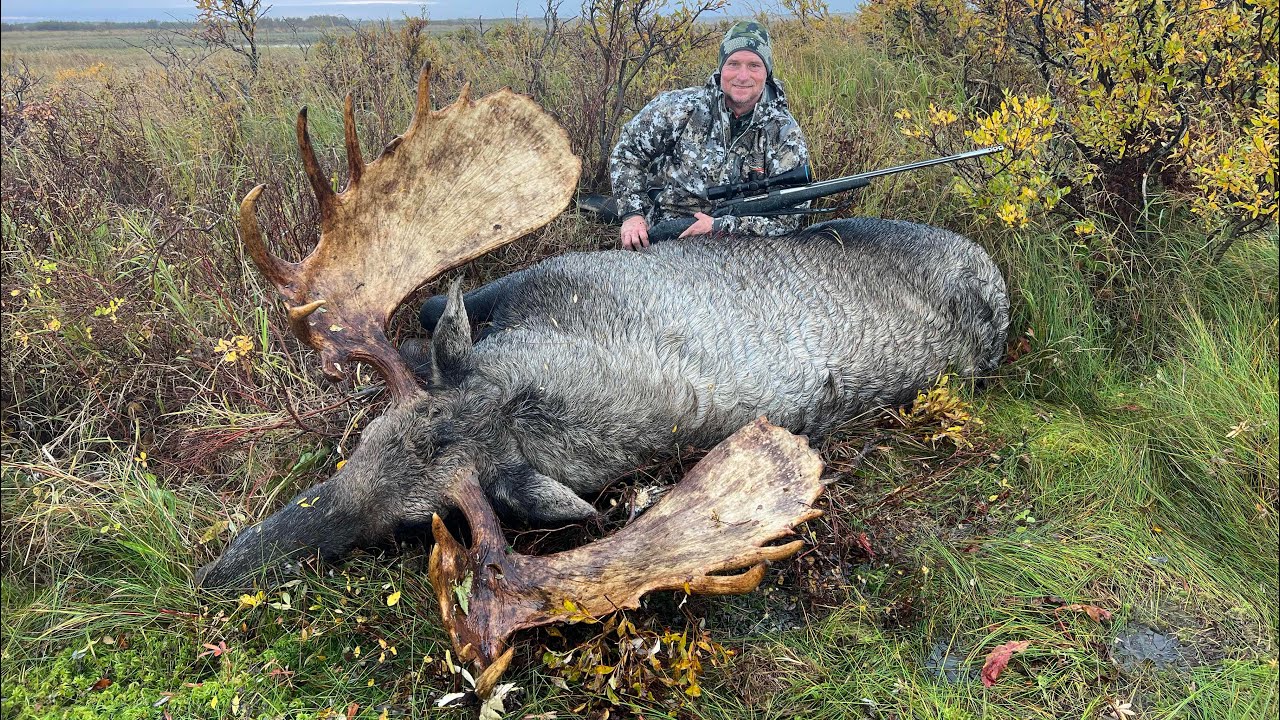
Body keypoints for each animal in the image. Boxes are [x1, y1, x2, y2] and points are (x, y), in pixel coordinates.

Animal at [195, 64, 1010, 680]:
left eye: (413, 524)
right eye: (365, 443)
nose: (220, 571)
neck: (540, 389)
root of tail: (993, 267)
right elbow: (427, 315)